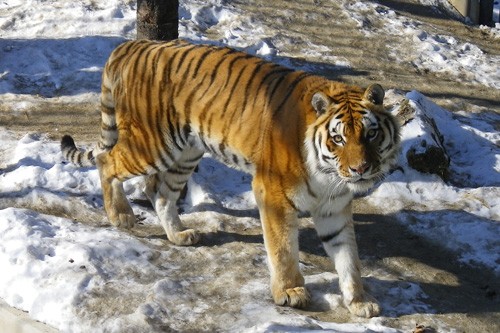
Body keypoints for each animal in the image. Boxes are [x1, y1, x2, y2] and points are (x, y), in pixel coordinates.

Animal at [60, 39, 400, 316]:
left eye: (370, 134)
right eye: (338, 139)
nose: (360, 169)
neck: (329, 176)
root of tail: (134, 45)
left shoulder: (334, 207)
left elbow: (348, 257)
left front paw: (359, 301)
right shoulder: (273, 194)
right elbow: (282, 249)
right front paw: (290, 291)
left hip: (185, 152)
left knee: (159, 191)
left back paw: (179, 235)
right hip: (151, 144)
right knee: (107, 161)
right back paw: (121, 215)